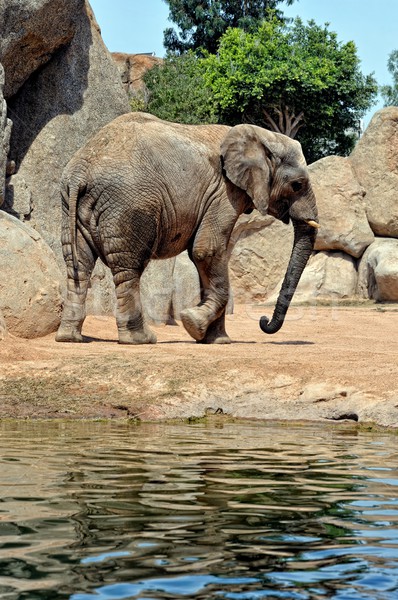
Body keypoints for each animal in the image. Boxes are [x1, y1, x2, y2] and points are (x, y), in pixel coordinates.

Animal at [56, 112, 318, 344]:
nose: (263, 321)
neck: (262, 135)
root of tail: (80, 172)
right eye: (297, 185)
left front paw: (216, 341)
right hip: (128, 204)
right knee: (128, 266)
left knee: (78, 263)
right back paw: (140, 339)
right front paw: (192, 322)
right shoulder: (223, 193)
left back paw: (69, 337)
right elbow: (208, 251)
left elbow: (205, 256)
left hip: (70, 204)